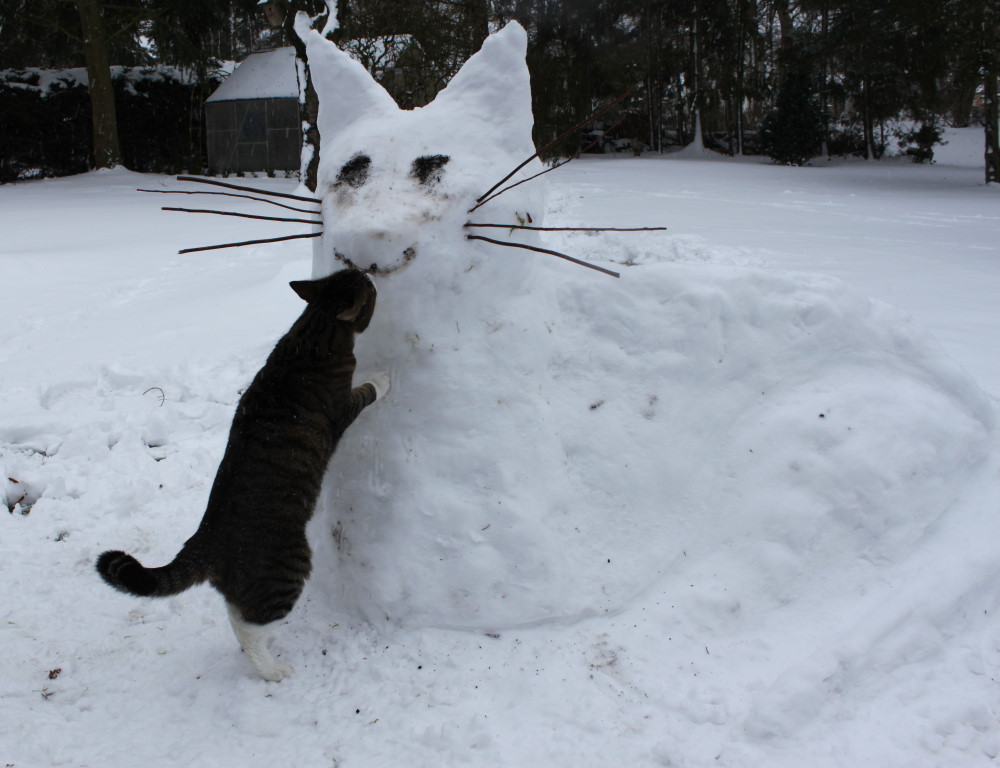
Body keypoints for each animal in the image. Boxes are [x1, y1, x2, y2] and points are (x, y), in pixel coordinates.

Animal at [95, 268, 386, 680]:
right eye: (368, 288)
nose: (368, 272)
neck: (311, 333)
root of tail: (205, 539)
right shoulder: (341, 407)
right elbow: (367, 391)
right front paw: (383, 379)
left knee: (236, 613)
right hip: (287, 568)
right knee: (248, 627)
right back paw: (271, 668)